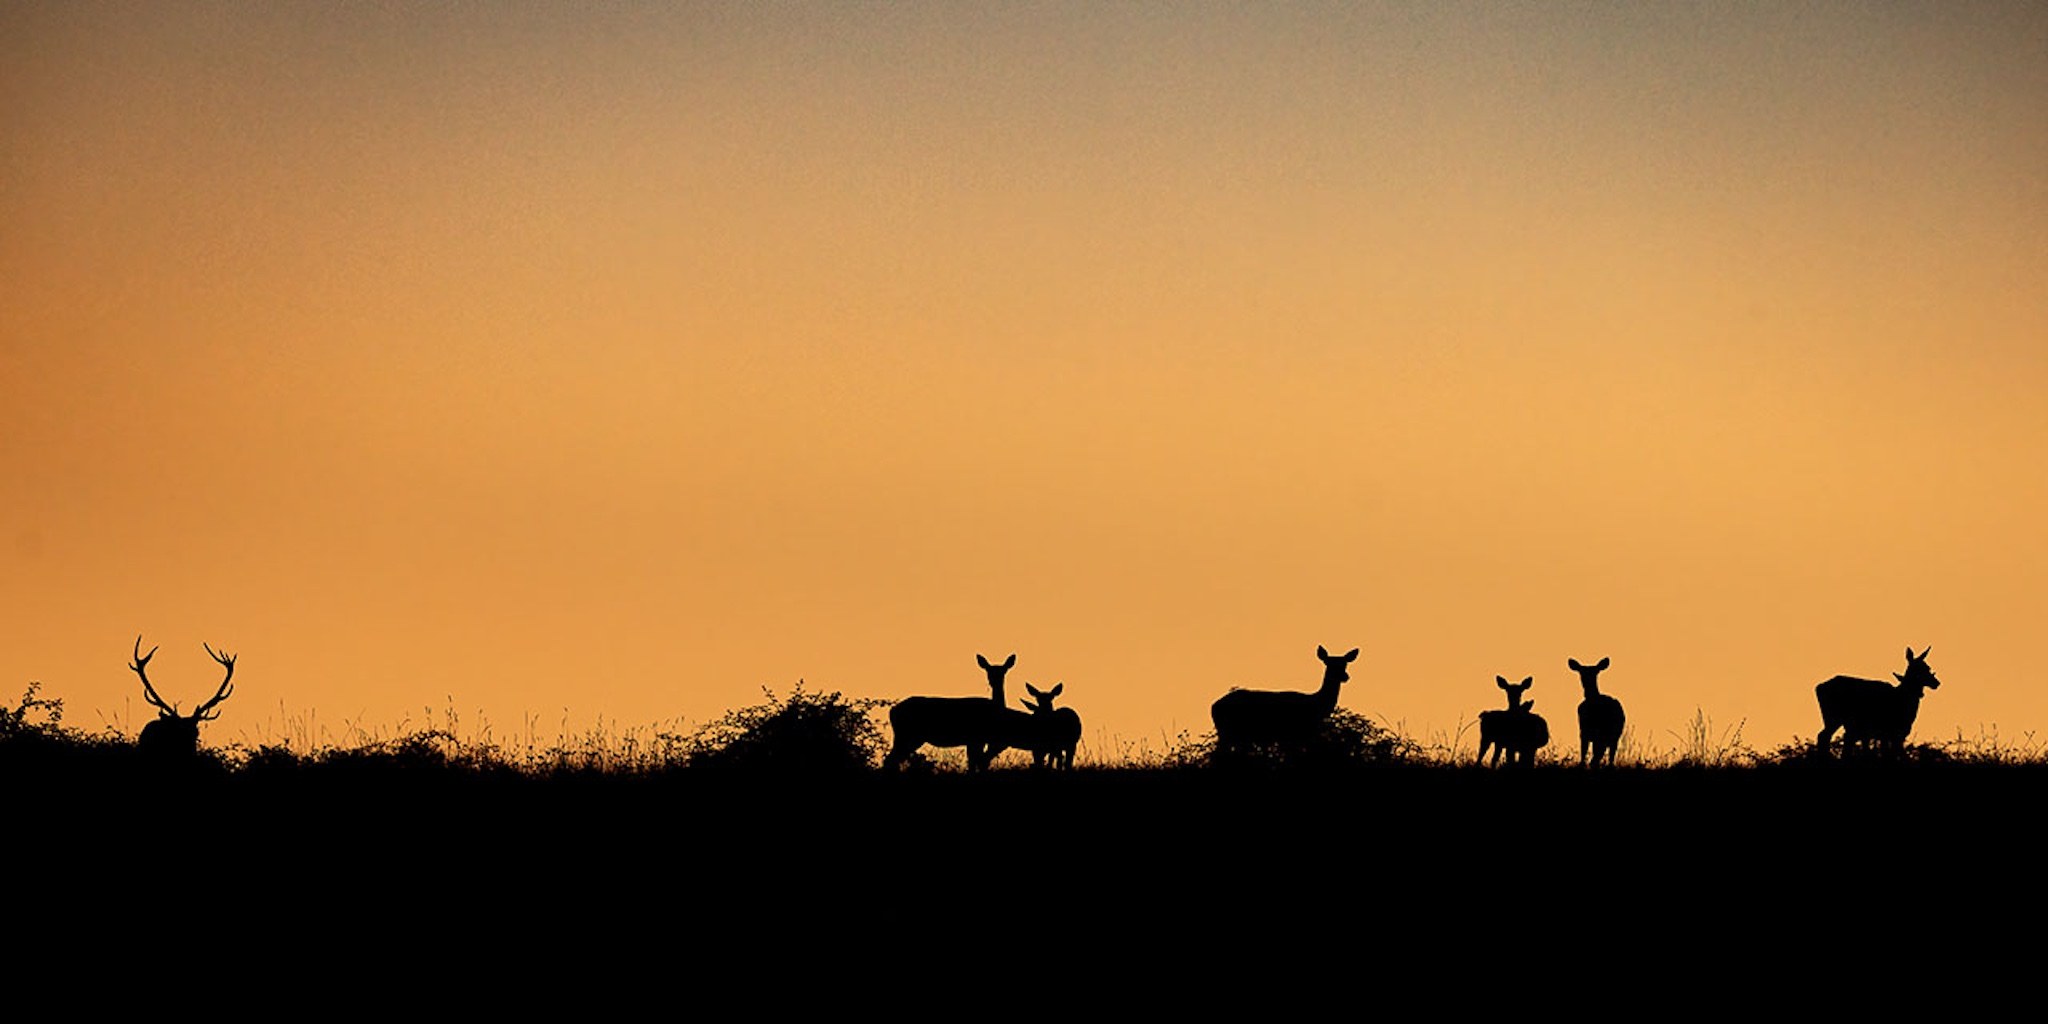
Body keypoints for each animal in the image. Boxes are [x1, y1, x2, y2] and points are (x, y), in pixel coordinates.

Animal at [883, 653, 1015, 771]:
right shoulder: (976, 738)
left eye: (1003, 671)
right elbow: (977, 763)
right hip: (908, 734)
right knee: (890, 760)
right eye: (988, 670)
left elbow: (974, 763)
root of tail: (892, 711)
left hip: (904, 736)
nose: (993, 681)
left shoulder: (974, 740)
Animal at [1210, 645, 1359, 762]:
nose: (1345, 676)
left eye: (1345, 663)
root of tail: (1213, 707)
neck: (1316, 705)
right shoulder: (1295, 734)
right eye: (1329, 664)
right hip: (1228, 731)